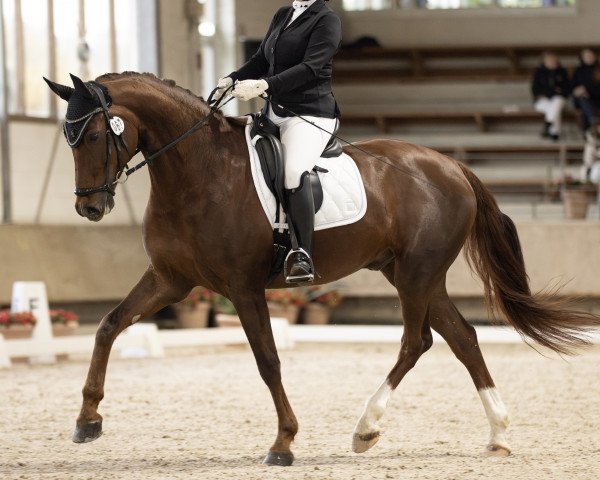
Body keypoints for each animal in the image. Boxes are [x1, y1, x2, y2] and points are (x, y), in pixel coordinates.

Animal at [44, 73, 596, 466]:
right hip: (412, 274)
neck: (198, 172)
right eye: (68, 139)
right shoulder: (171, 280)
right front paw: (87, 419)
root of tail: (452, 165)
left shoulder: (242, 288)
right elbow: (109, 324)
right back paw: (497, 435)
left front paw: (284, 443)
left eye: (94, 134)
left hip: (416, 274)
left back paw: (366, 428)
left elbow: (268, 361)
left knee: (416, 341)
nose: (89, 208)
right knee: (462, 337)